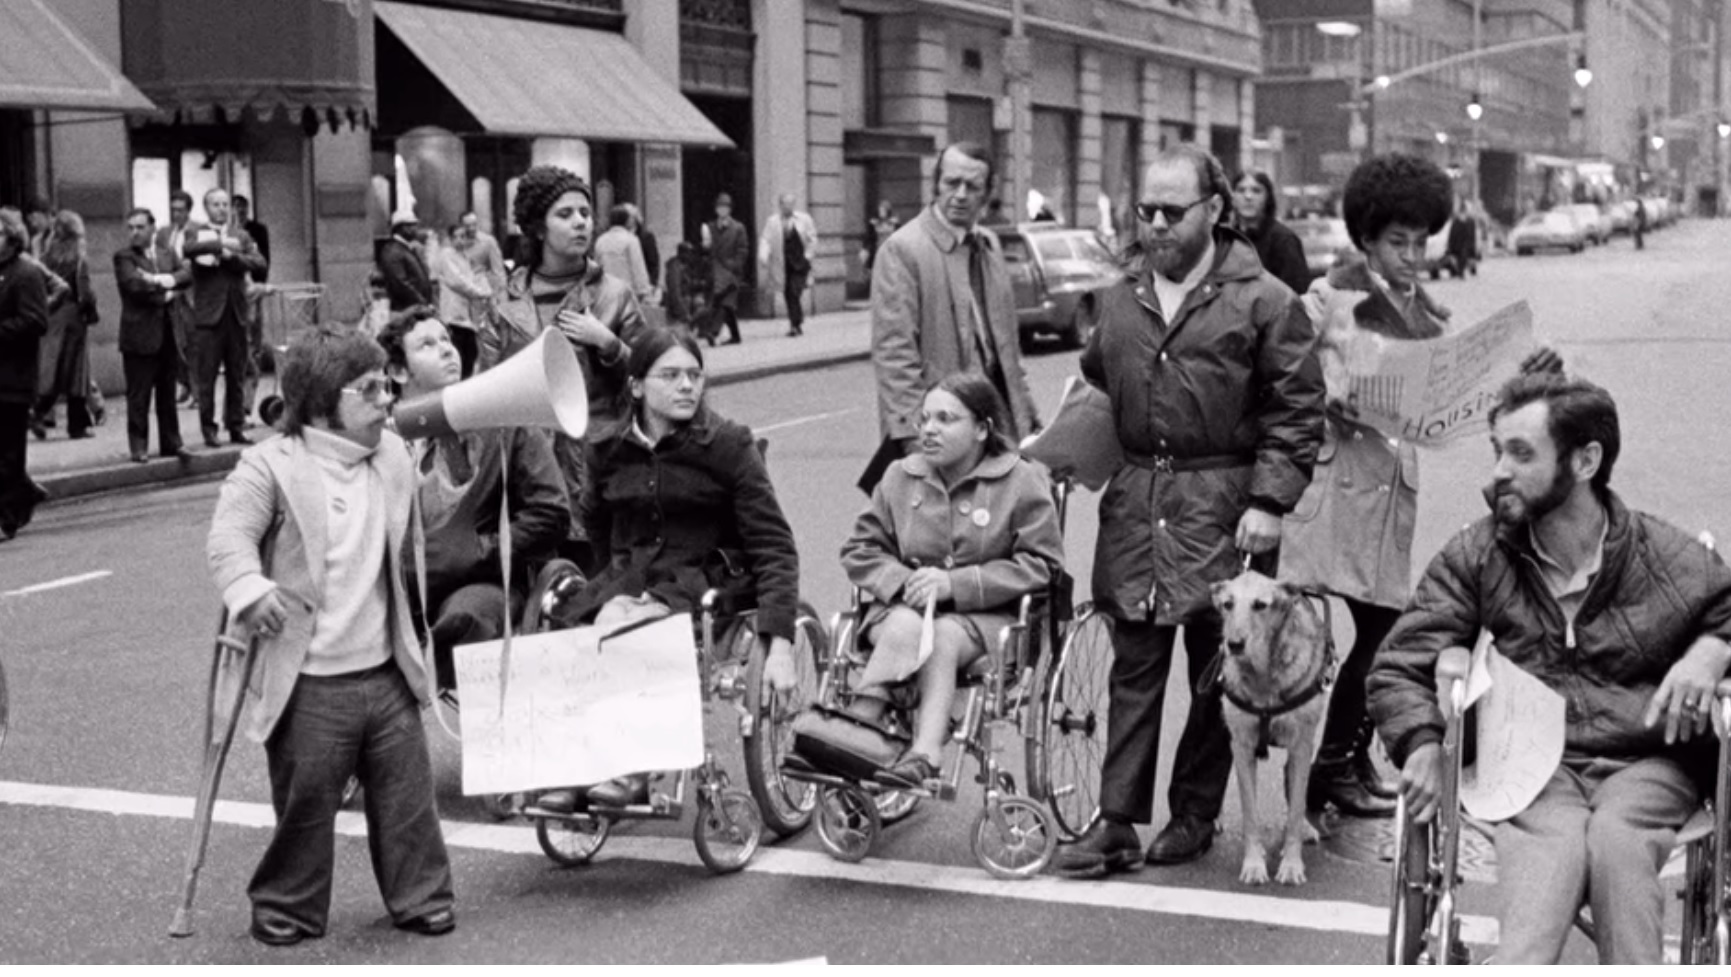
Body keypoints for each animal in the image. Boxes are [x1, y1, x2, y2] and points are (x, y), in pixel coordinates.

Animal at [1211, 571, 1329, 886]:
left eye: (1260, 605)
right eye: (1228, 604)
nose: (1234, 643)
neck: (1263, 676)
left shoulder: (1301, 746)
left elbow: (1297, 805)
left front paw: (1291, 864)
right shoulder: (1241, 745)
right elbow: (1250, 813)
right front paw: (1254, 863)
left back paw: (1305, 828)